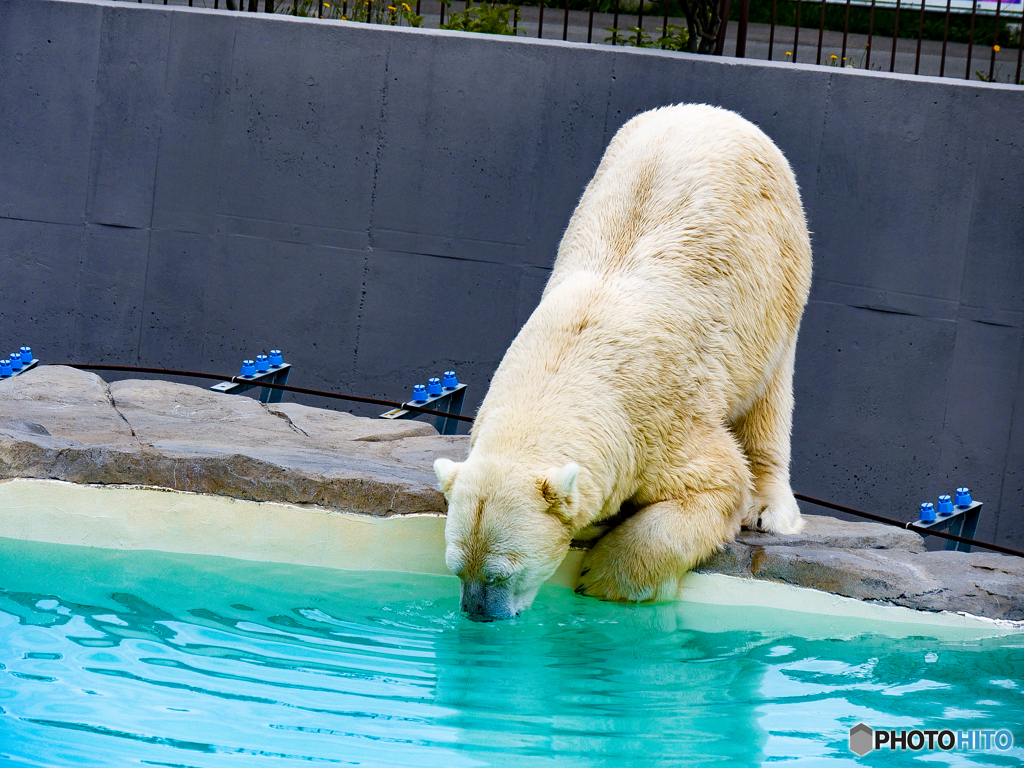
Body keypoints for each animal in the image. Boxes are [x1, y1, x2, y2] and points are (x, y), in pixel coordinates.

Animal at [436, 103, 811, 618]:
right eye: (458, 569)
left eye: (502, 573)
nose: (478, 614)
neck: (567, 363)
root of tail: (712, 112)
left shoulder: (663, 419)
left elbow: (720, 480)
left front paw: (605, 578)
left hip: (778, 272)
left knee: (770, 395)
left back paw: (770, 508)